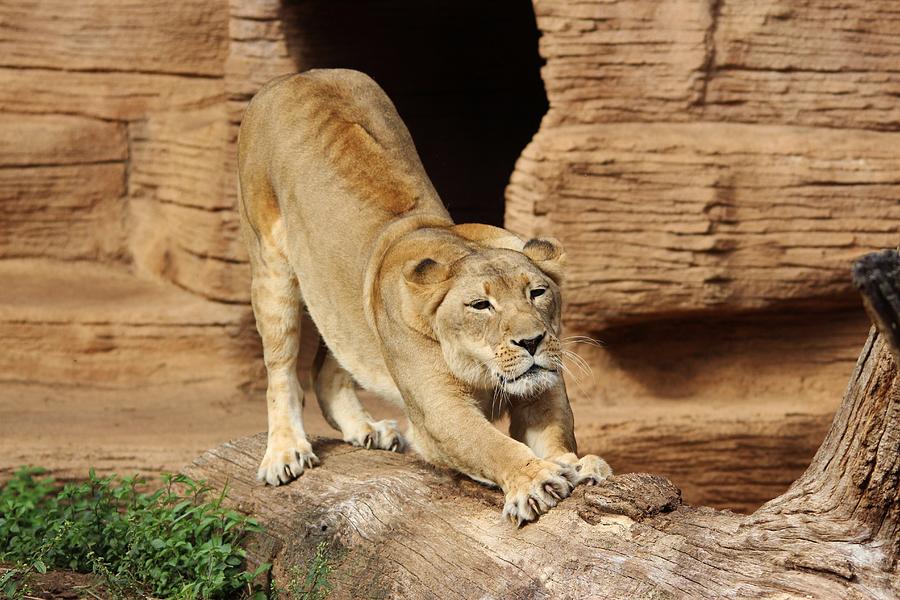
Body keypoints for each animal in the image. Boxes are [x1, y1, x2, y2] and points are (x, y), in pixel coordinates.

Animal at [237, 68, 612, 524]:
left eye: (537, 292)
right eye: (480, 305)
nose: (532, 341)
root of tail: (299, 74)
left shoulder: (543, 388)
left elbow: (556, 431)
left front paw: (576, 465)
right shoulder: (437, 410)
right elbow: (490, 445)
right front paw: (535, 479)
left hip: (340, 307)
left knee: (329, 365)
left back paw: (367, 430)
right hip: (271, 269)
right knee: (281, 371)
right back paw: (285, 452)